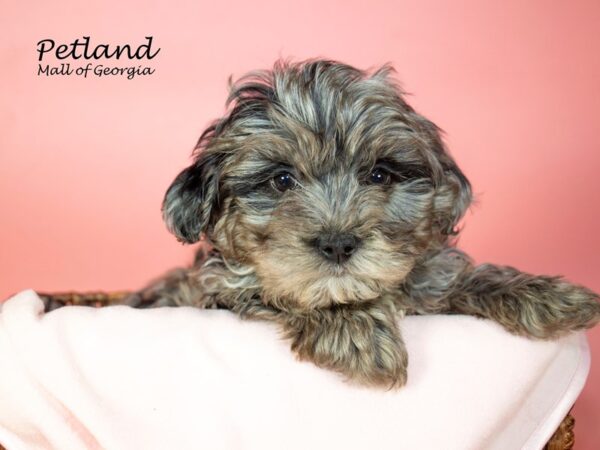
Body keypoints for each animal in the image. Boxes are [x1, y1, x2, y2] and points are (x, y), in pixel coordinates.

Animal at [39, 59, 596, 386]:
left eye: (379, 174)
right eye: (281, 180)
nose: (337, 245)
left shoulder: (429, 282)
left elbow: (460, 277)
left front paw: (549, 296)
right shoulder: (217, 289)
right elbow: (281, 294)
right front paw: (357, 333)